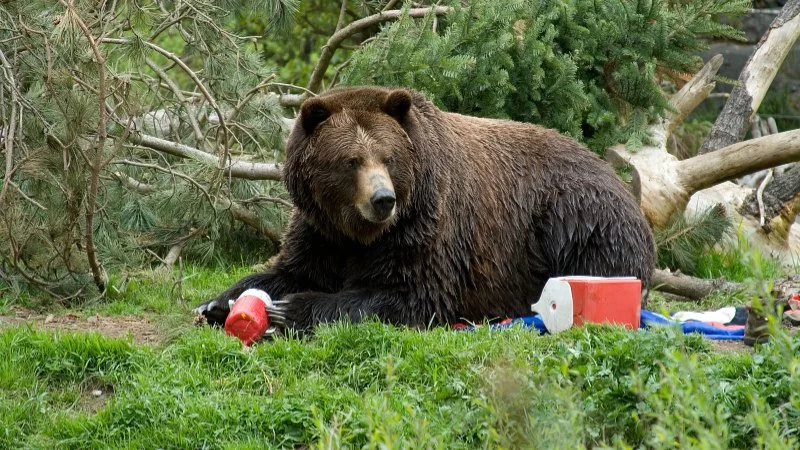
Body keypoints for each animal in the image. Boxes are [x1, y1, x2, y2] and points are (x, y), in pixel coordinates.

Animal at [194, 86, 656, 334]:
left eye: (388, 157)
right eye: (351, 160)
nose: (383, 199)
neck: (360, 233)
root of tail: (621, 184)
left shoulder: (427, 225)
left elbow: (410, 294)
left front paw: (292, 309)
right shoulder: (320, 230)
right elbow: (289, 267)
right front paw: (216, 303)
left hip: (575, 218)